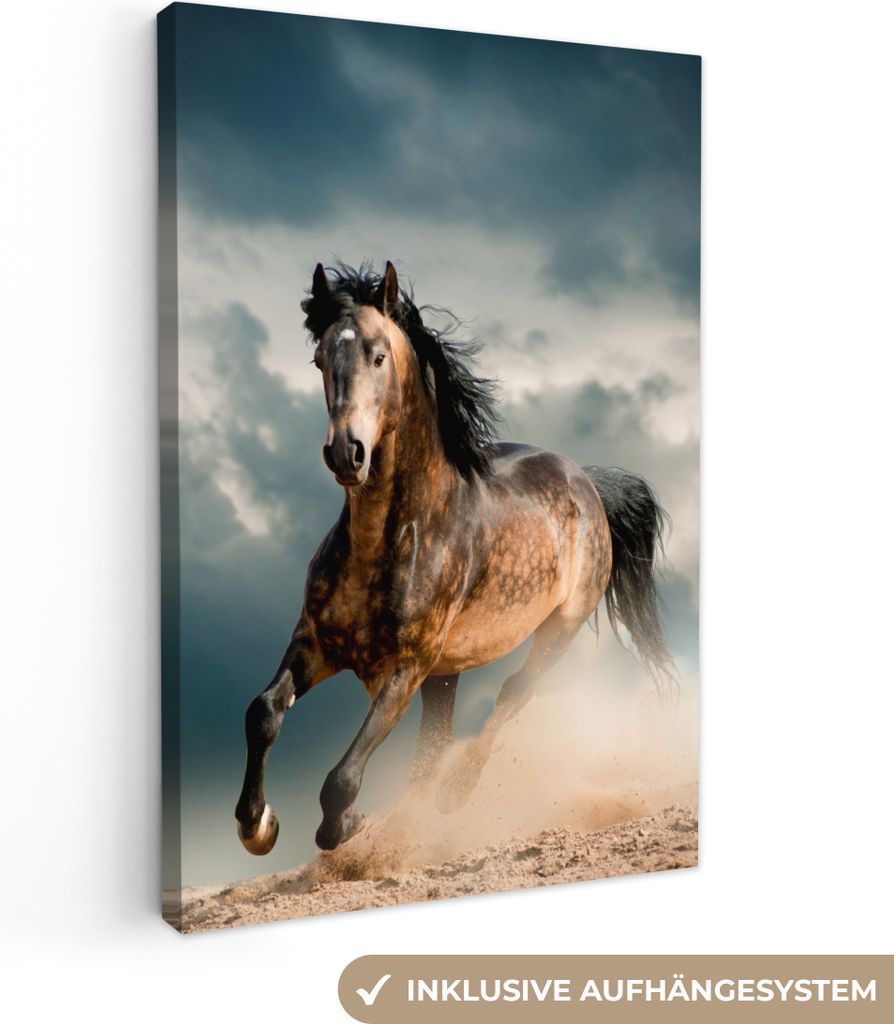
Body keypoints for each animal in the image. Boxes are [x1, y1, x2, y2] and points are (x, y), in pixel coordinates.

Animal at [235, 260, 674, 854]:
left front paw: (345, 825)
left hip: (558, 629)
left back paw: (454, 793)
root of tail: (587, 482)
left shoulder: (406, 667)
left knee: (512, 695)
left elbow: (341, 778)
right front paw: (258, 824)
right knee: (436, 741)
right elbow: (263, 713)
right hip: (448, 672)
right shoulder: (316, 642)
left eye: (378, 355)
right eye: (320, 359)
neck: (389, 540)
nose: (346, 453)